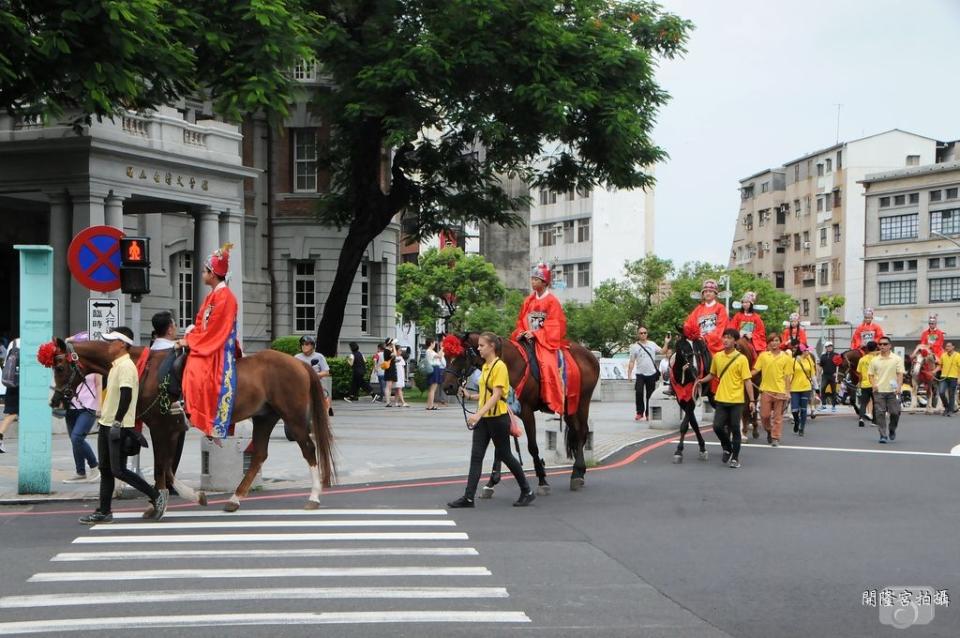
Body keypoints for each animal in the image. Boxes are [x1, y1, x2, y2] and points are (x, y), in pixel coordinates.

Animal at [47, 340, 336, 516]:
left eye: (59, 366)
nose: (55, 400)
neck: (143, 369)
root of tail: (299, 363)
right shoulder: (169, 429)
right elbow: (166, 468)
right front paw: (183, 497)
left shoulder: (162, 428)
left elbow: (163, 467)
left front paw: (164, 502)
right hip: (264, 417)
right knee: (259, 455)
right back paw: (234, 499)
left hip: (293, 417)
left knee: (308, 449)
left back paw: (314, 496)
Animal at [442, 336, 600, 496]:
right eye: (445, 356)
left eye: (460, 355)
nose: (447, 387)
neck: (510, 364)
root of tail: (589, 355)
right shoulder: (504, 412)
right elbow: (500, 448)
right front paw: (492, 481)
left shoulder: (527, 412)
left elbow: (532, 447)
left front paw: (542, 480)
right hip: (569, 408)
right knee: (577, 432)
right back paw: (579, 472)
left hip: (581, 401)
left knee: (582, 432)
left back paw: (577, 474)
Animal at [672, 336, 708, 464]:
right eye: (684, 348)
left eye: (698, 348)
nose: (695, 370)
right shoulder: (681, 400)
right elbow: (693, 423)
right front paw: (702, 447)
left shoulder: (692, 398)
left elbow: (685, 425)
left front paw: (678, 451)